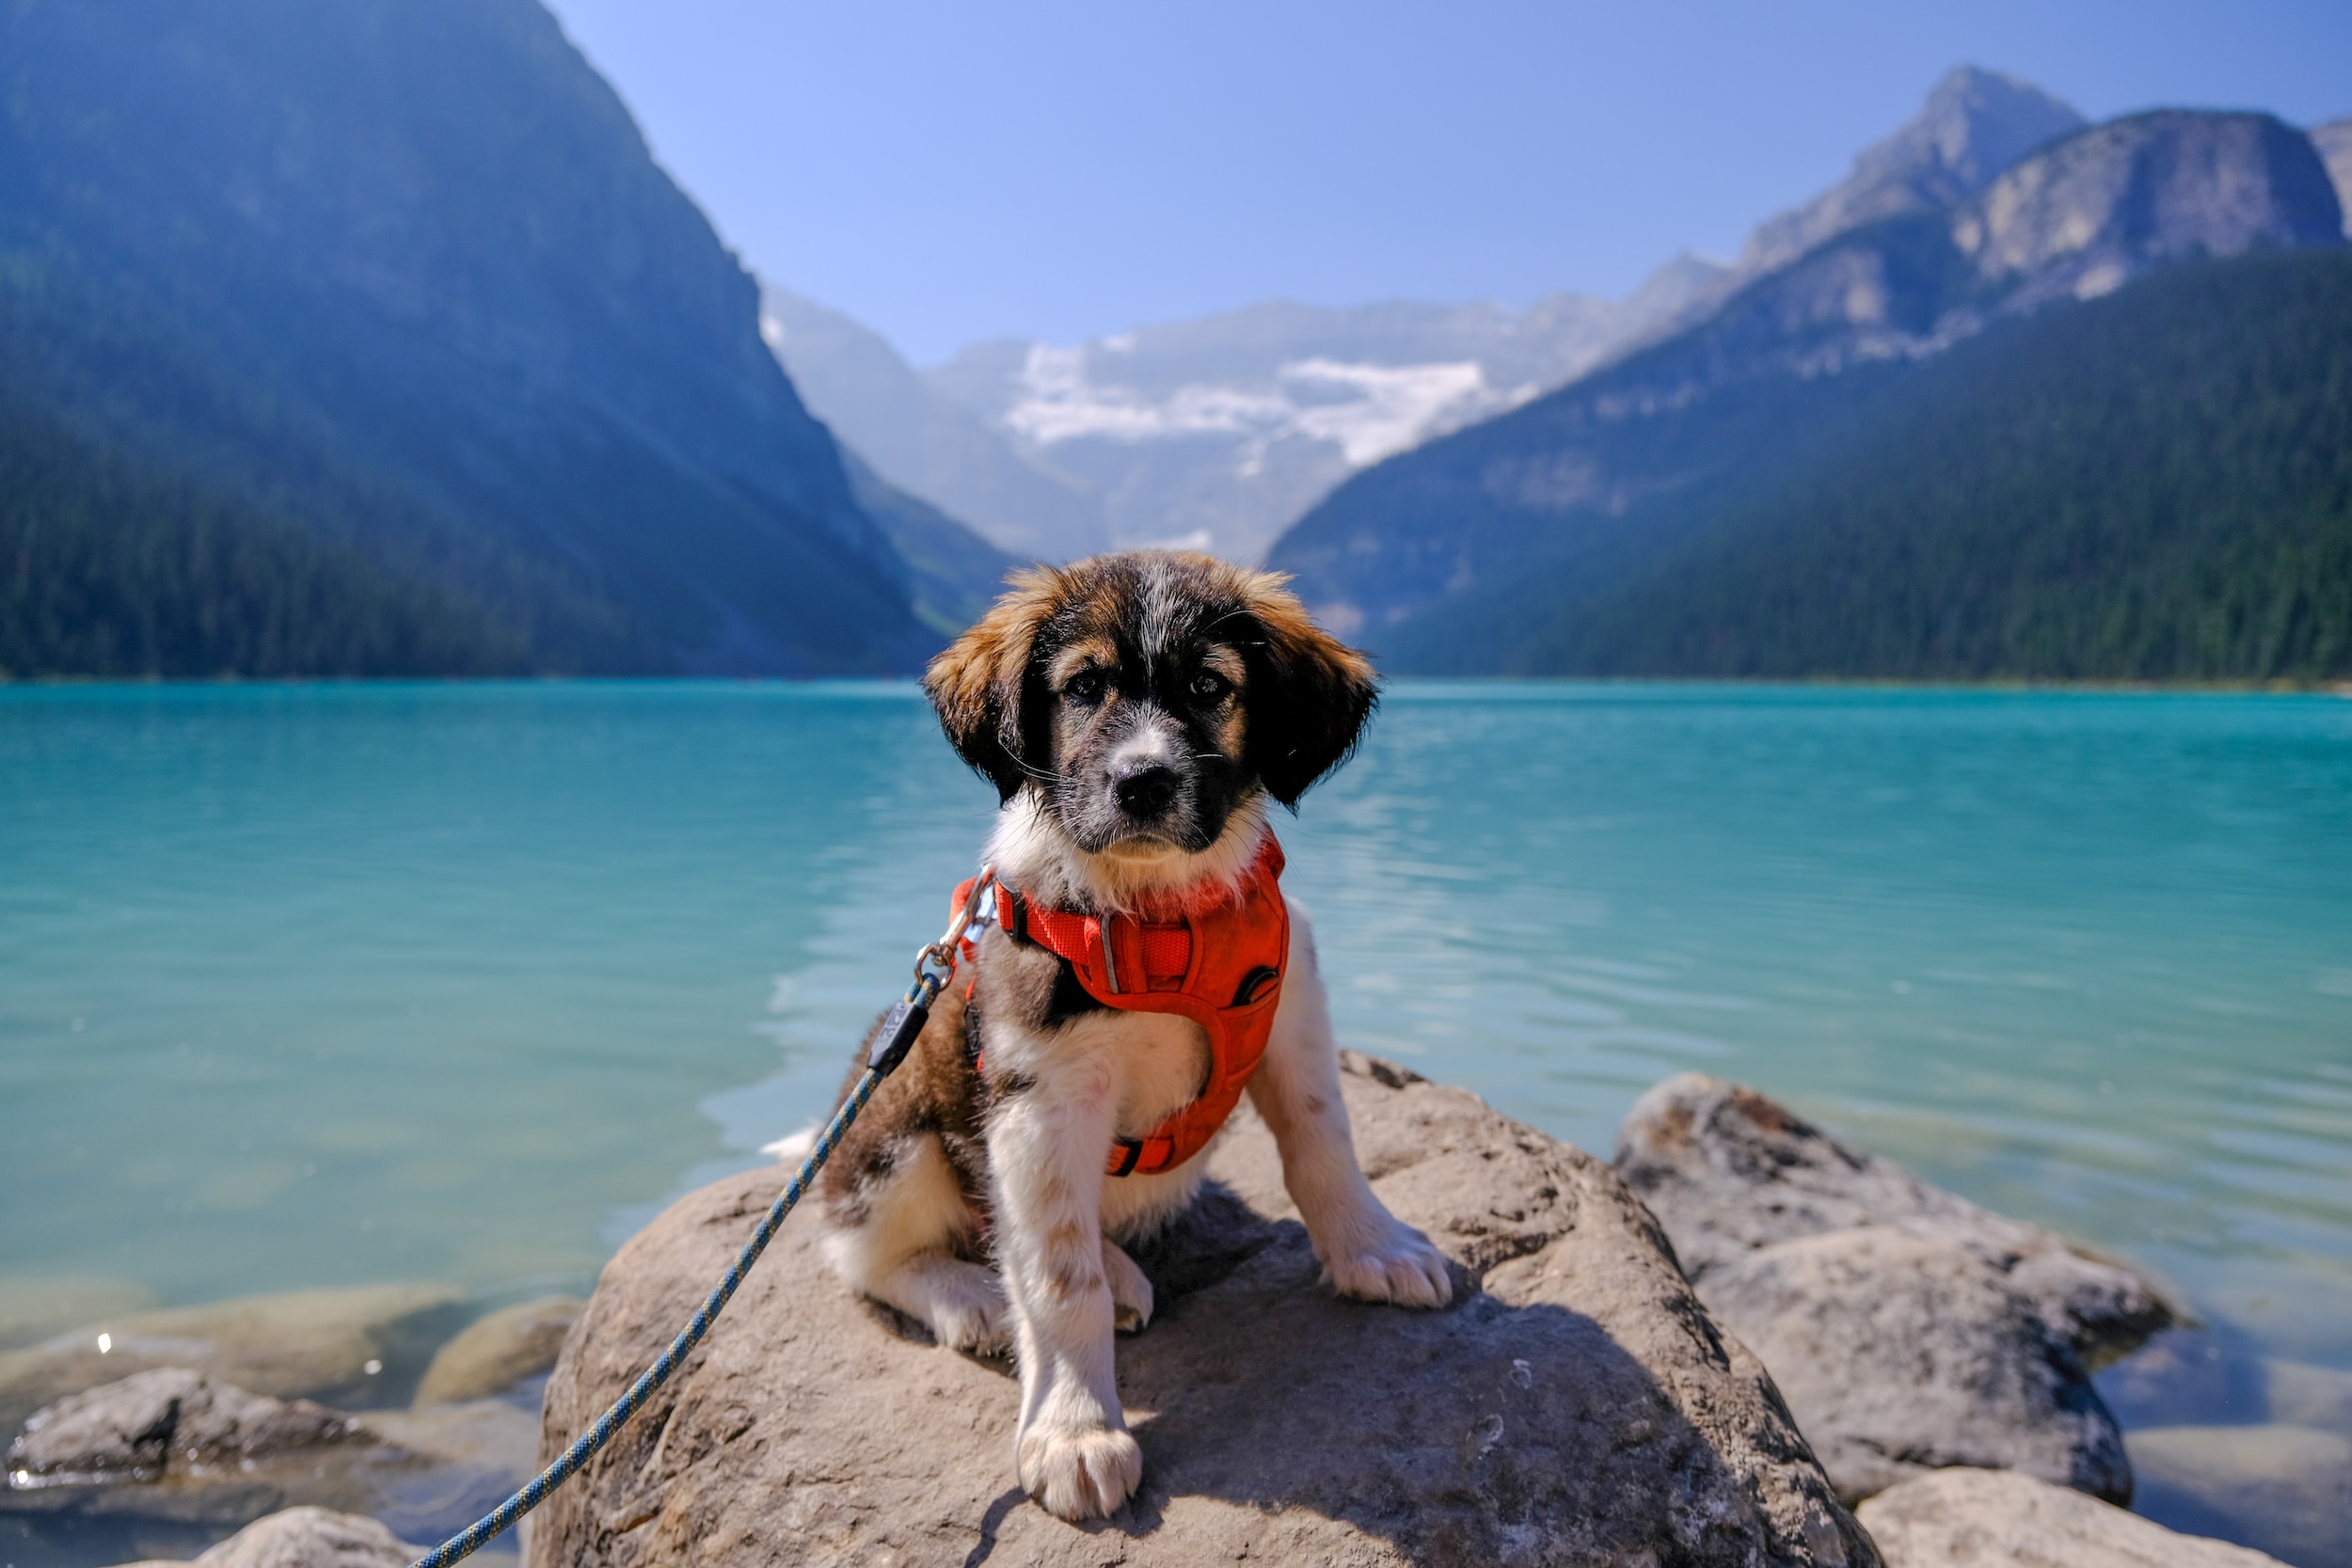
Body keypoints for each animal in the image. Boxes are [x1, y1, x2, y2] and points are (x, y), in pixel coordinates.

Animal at [814, 549, 1449, 1523]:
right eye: (1083, 687)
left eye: (1209, 685)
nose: (1141, 781)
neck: (1157, 920)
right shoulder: (1040, 1097)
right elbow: (1056, 1276)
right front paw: (1076, 1429)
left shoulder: (1293, 1008)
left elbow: (1323, 1145)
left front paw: (1373, 1247)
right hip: (896, 1132)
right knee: (867, 1252)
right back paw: (974, 1295)